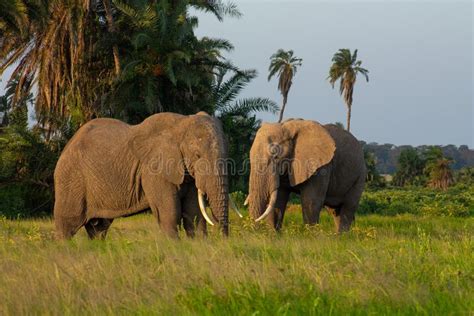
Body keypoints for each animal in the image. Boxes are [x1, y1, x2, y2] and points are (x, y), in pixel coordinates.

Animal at [53, 112, 237, 238]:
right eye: (197, 155)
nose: (224, 240)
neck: (181, 124)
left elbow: (194, 215)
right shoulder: (153, 171)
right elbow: (170, 214)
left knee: (98, 228)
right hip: (71, 180)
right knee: (67, 225)